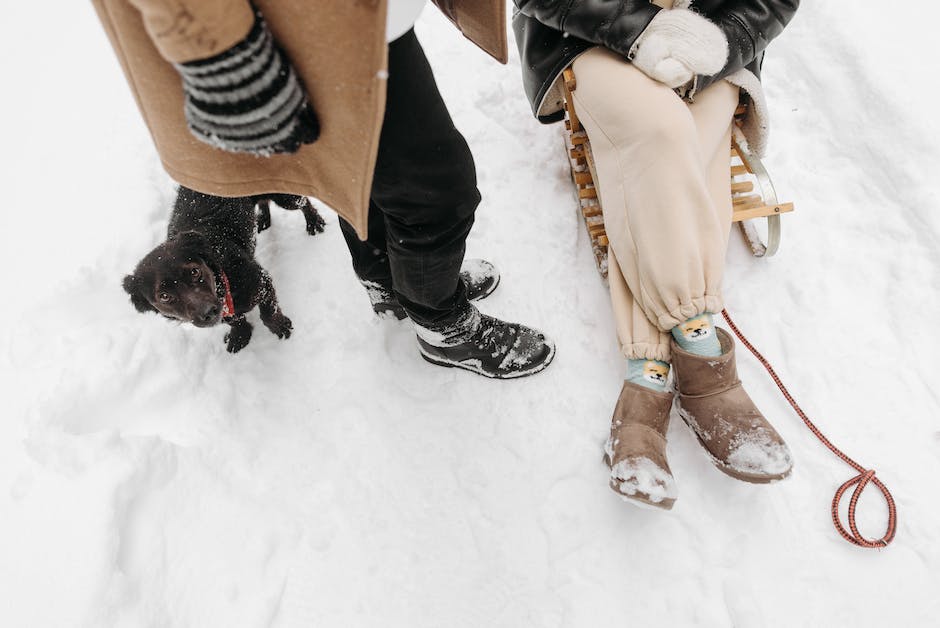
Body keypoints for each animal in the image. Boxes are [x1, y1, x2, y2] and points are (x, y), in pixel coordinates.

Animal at [123, 186, 324, 354]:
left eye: (194, 272)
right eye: (164, 296)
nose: (208, 312)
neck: (222, 275)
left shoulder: (261, 281)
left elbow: (268, 313)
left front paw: (279, 326)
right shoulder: (223, 308)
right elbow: (235, 320)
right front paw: (240, 334)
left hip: (285, 198)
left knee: (304, 201)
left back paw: (314, 222)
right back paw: (263, 219)